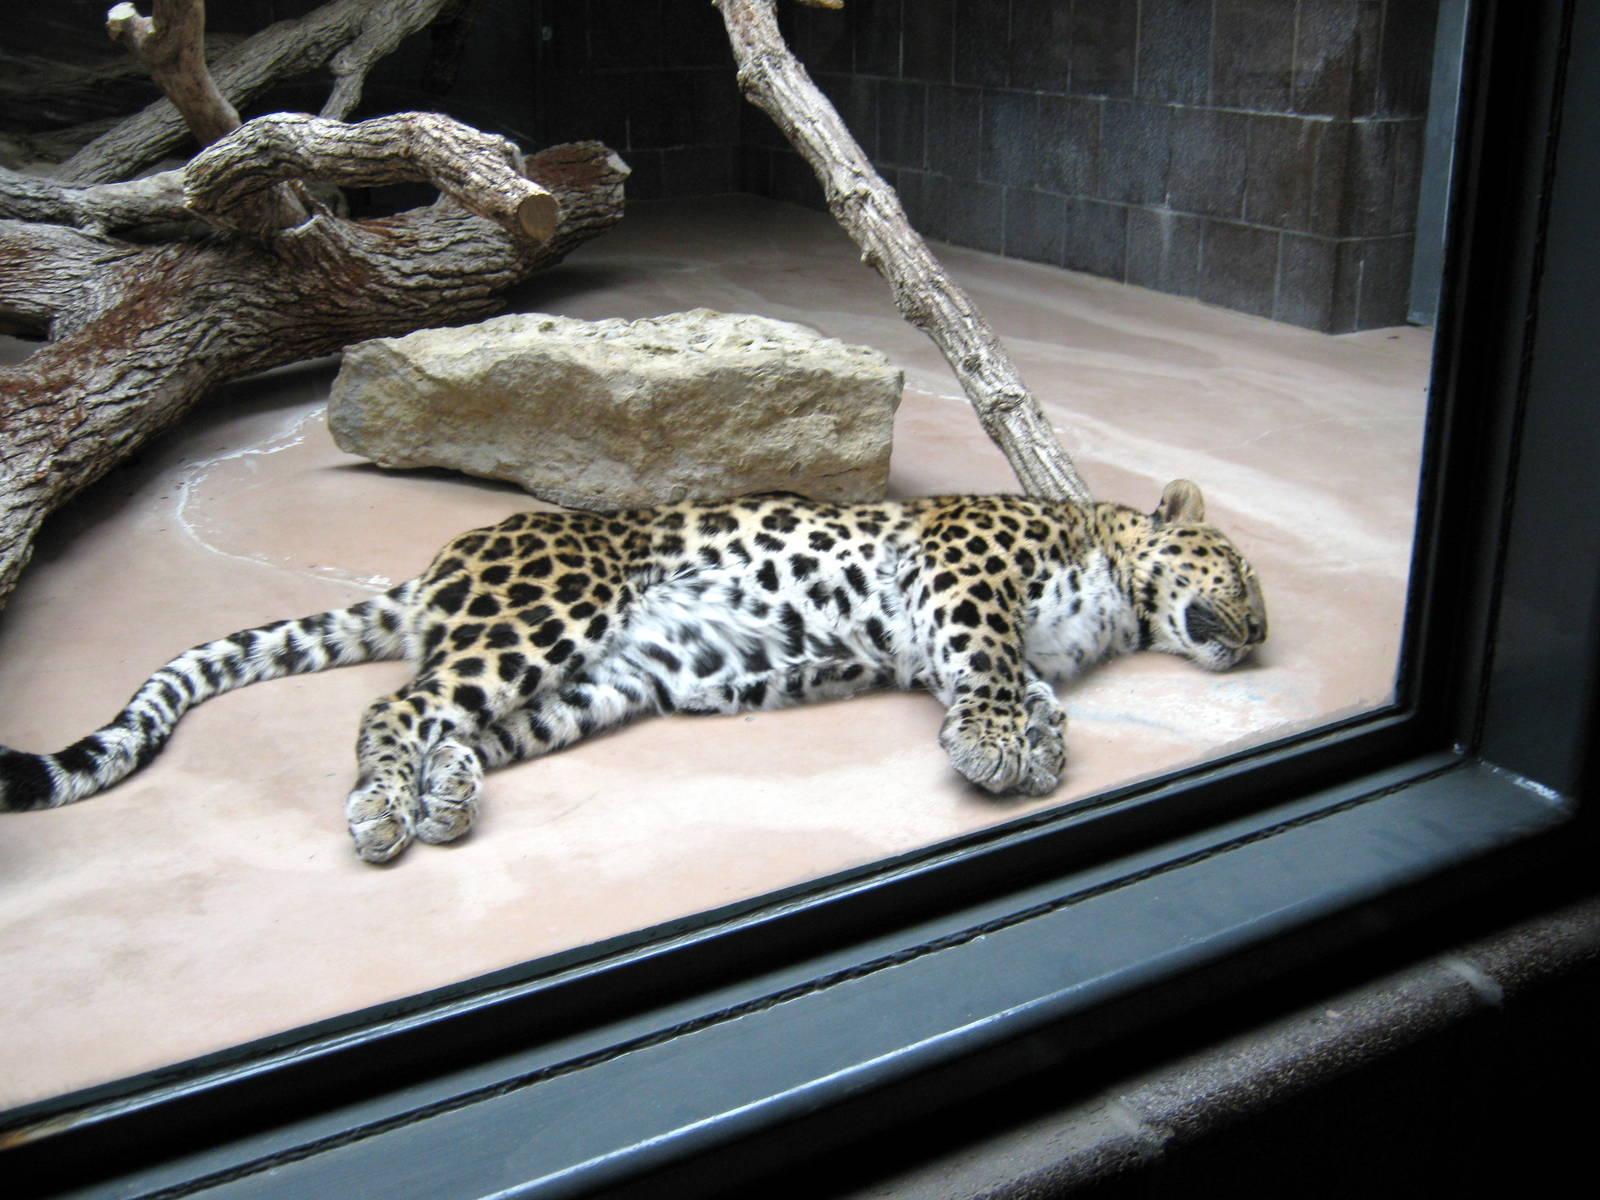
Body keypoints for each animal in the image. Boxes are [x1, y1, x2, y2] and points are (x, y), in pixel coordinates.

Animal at [0, 479, 1266, 863]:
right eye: (1246, 576)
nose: (1255, 638)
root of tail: (440, 561)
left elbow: (1023, 679)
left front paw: (1035, 731)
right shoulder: (967, 564)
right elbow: (990, 657)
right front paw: (1005, 742)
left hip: (602, 685)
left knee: (457, 724)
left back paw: (444, 796)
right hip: (549, 611)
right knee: (393, 704)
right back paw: (382, 811)